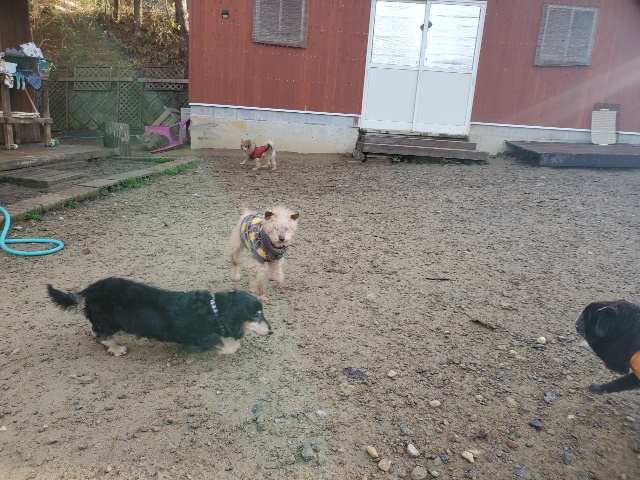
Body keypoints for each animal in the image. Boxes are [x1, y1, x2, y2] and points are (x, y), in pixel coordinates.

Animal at [47, 277, 272, 356]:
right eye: (256, 315)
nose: (271, 331)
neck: (213, 310)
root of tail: (90, 289)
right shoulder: (198, 338)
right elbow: (229, 345)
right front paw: (233, 345)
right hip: (109, 321)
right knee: (101, 335)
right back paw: (117, 348)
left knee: (94, 328)